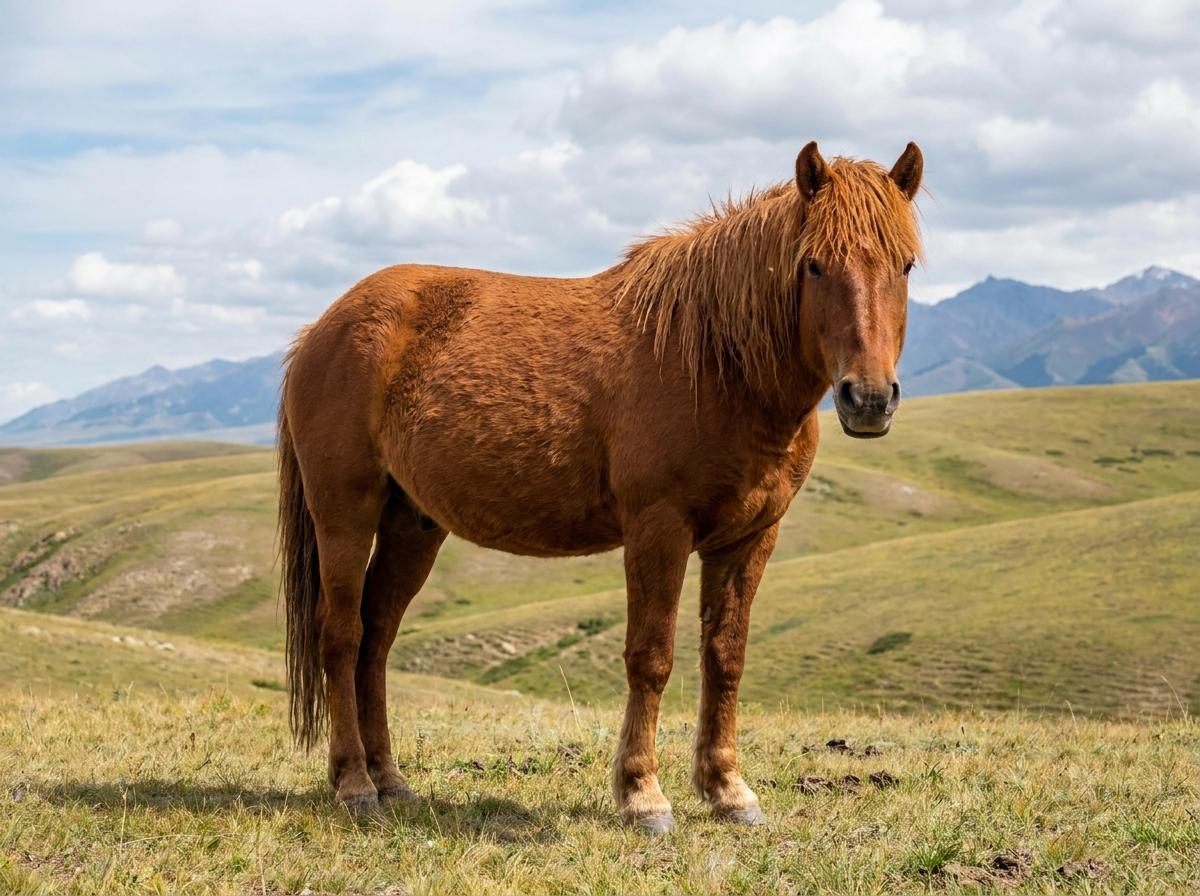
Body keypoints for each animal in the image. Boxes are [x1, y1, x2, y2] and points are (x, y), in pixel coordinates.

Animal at [277, 140, 923, 833]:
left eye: (906, 266)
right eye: (814, 266)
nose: (869, 399)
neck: (714, 361)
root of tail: (322, 329)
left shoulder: (749, 539)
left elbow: (725, 658)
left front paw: (728, 790)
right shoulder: (658, 529)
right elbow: (651, 657)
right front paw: (643, 796)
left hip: (412, 524)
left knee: (375, 639)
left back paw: (390, 780)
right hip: (345, 513)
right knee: (341, 636)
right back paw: (353, 784)